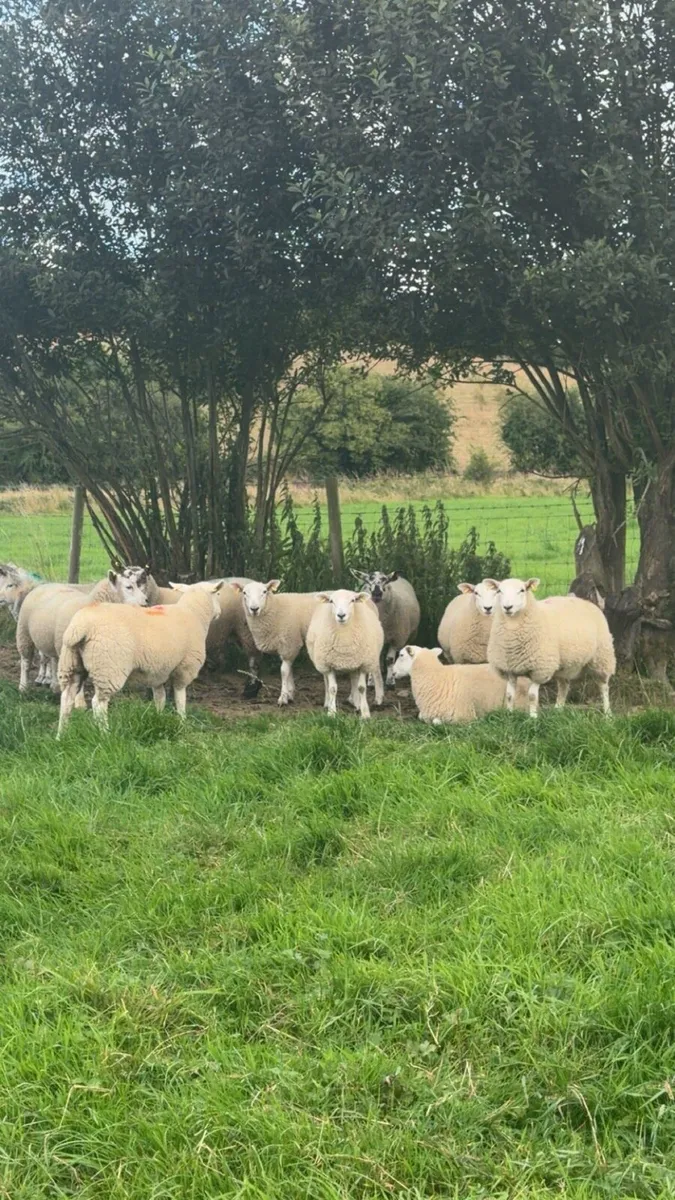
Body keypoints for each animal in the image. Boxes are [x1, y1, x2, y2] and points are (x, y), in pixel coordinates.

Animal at [17, 571, 149, 695]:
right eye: (128, 587)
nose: (146, 600)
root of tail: (43, 585)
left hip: (51, 640)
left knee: (53, 660)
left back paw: (54, 686)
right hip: (24, 632)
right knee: (25, 662)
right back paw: (23, 687)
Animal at [57, 581, 224, 736]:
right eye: (218, 594)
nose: (220, 612)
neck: (194, 613)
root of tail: (80, 627)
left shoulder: (158, 671)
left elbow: (160, 697)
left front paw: (159, 717)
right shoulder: (185, 668)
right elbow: (180, 698)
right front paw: (182, 723)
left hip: (71, 663)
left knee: (66, 699)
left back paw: (61, 735)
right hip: (109, 666)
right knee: (98, 703)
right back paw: (105, 734)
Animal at [306, 589, 385, 719]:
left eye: (353, 600)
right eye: (331, 601)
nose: (341, 615)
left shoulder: (363, 663)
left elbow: (361, 688)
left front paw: (365, 713)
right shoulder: (328, 664)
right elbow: (332, 688)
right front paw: (331, 712)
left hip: (361, 660)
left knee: (357, 678)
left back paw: (361, 703)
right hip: (321, 662)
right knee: (326, 681)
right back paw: (328, 702)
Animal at [391, 645, 529, 723]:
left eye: (401, 655)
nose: (392, 672)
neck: (437, 677)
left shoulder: (463, 717)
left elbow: (436, 721)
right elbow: (421, 717)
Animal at [485, 576, 616, 718]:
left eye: (522, 590)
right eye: (499, 591)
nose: (507, 607)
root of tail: (587, 602)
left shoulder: (540, 669)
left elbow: (532, 696)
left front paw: (533, 718)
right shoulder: (510, 669)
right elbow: (509, 695)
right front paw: (509, 716)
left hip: (602, 657)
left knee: (604, 687)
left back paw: (608, 714)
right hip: (564, 664)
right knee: (564, 686)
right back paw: (558, 711)